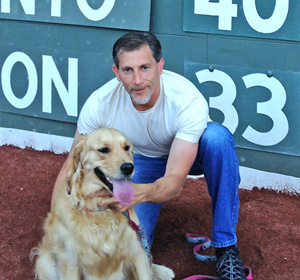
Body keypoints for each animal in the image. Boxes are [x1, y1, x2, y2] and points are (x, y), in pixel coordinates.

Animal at [31, 129, 173, 280]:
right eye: (103, 149)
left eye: (126, 148)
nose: (129, 167)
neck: (100, 211)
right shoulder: (70, 263)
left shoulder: (136, 252)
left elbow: (145, 271)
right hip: (46, 263)